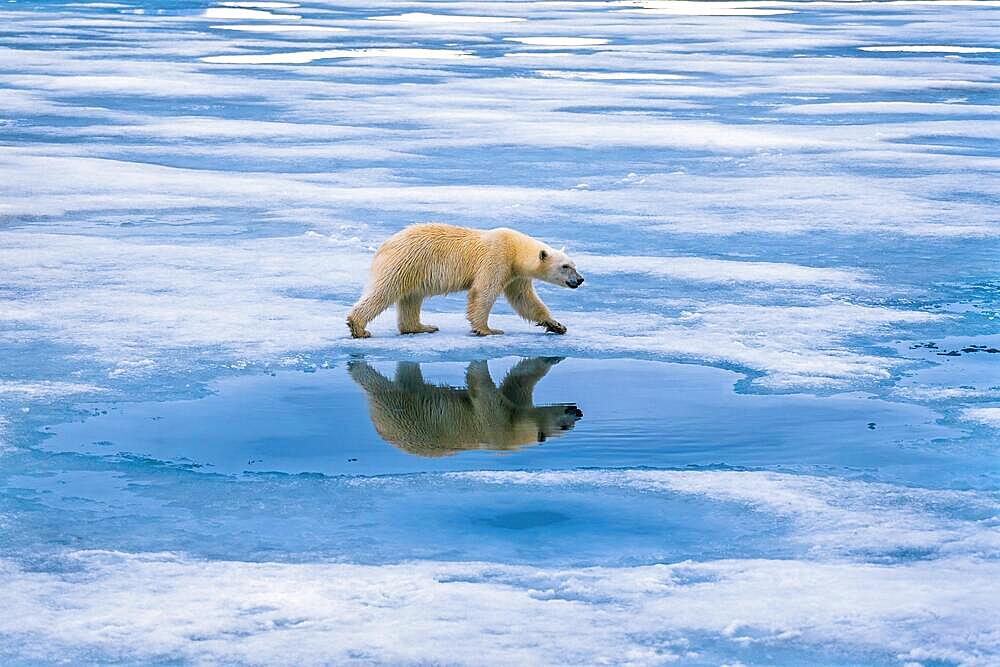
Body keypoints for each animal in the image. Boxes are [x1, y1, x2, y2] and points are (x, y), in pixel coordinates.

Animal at [346, 224, 584, 340]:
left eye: (574, 264)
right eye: (565, 266)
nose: (580, 279)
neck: (515, 249)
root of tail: (384, 244)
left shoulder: (516, 275)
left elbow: (524, 300)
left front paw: (556, 325)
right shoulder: (496, 258)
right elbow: (483, 292)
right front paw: (488, 330)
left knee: (411, 298)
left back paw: (422, 327)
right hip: (405, 262)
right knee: (384, 291)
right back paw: (358, 327)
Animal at [350, 358, 584, 456]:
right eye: (564, 427)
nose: (577, 412)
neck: (511, 433)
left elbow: (518, 380)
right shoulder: (494, 420)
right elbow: (482, 386)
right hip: (402, 414)